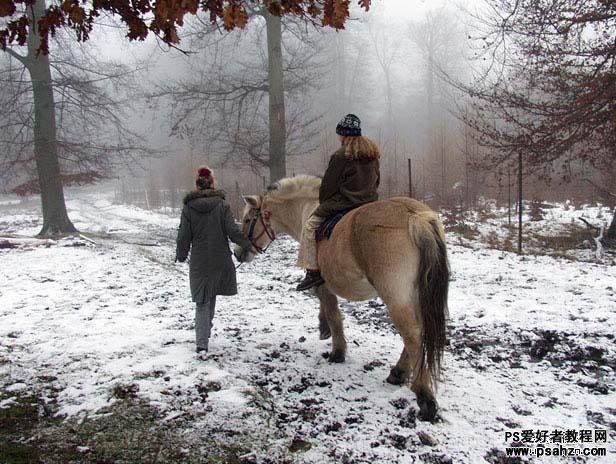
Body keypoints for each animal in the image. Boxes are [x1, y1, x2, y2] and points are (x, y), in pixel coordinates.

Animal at [233, 175, 450, 420]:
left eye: (248, 219)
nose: (238, 253)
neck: (308, 210)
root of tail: (415, 216)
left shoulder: (323, 285)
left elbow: (333, 314)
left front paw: (337, 351)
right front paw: (323, 329)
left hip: (397, 298)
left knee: (412, 335)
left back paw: (424, 397)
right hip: (415, 295)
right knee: (417, 333)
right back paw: (399, 373)